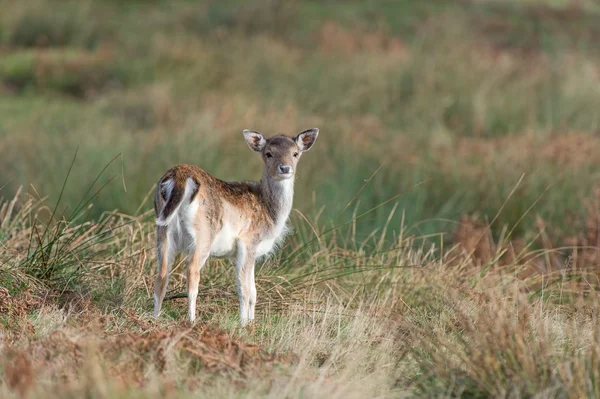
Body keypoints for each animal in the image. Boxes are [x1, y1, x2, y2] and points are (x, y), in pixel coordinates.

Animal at [152, 130, 318, 326]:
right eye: (269, 153)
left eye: (295, 153)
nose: (285, 168)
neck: (269, 211)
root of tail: (180, 176)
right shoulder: (248, 241)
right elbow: (244, 289)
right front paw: (243, 323)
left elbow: (254, 291)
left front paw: (252, 322)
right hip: (204, 233)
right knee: (192, 270)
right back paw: (192, 320)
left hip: (163, 228)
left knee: (161, 274)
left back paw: (155, 317)